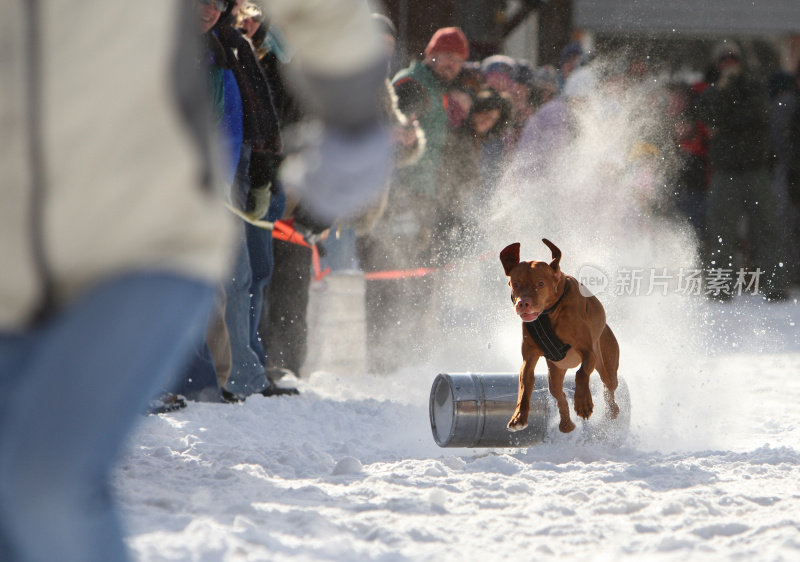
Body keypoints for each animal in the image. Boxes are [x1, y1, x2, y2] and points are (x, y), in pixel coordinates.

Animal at [496, 238, 620, 430]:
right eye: (515, 283)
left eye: (540, 283)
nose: (523, 303)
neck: (548, 314)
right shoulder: (529, 358)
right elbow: (524, 386)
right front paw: (518, 416)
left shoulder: (588, 352)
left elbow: (581, 374)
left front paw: (583, 402)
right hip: (555, 370)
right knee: (558, 392)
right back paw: (566, 423)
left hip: (606, 361)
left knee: (609, 386)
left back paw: (611, 410)